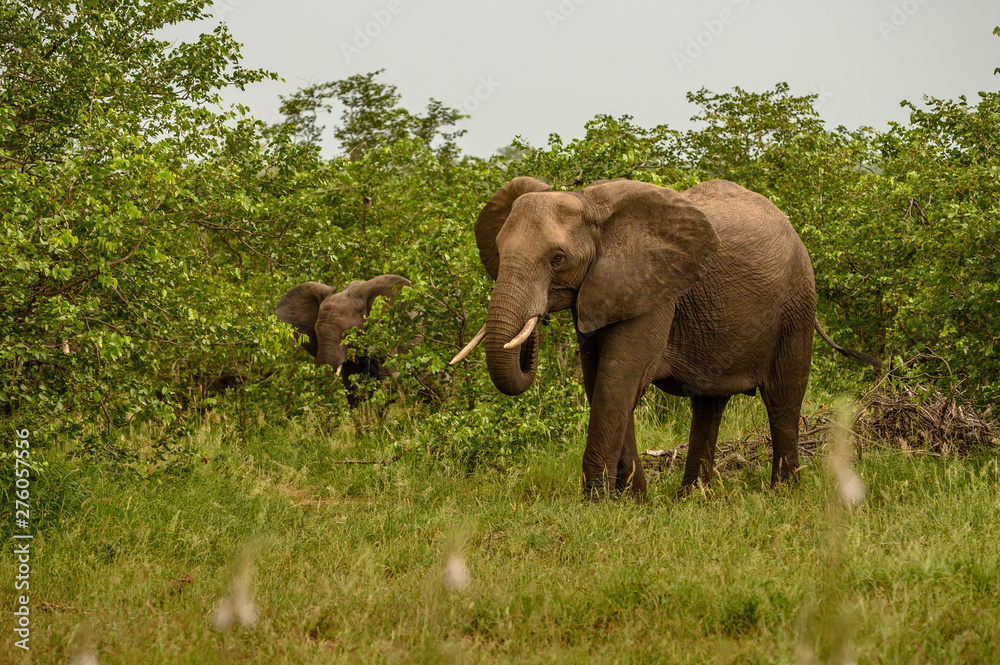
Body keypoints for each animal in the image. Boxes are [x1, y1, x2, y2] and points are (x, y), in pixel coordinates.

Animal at [451, 177, 880, 498]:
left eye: (557, 259)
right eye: (498, 250)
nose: (533, 328)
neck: (589, 204)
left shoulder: (656, 289)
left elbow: (620, 378)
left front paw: (596, 503)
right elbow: (600, 380)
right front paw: (634, 501)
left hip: (796, 304)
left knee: (783, 396)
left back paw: (783, 492)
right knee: (709, 404)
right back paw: (692, 498)